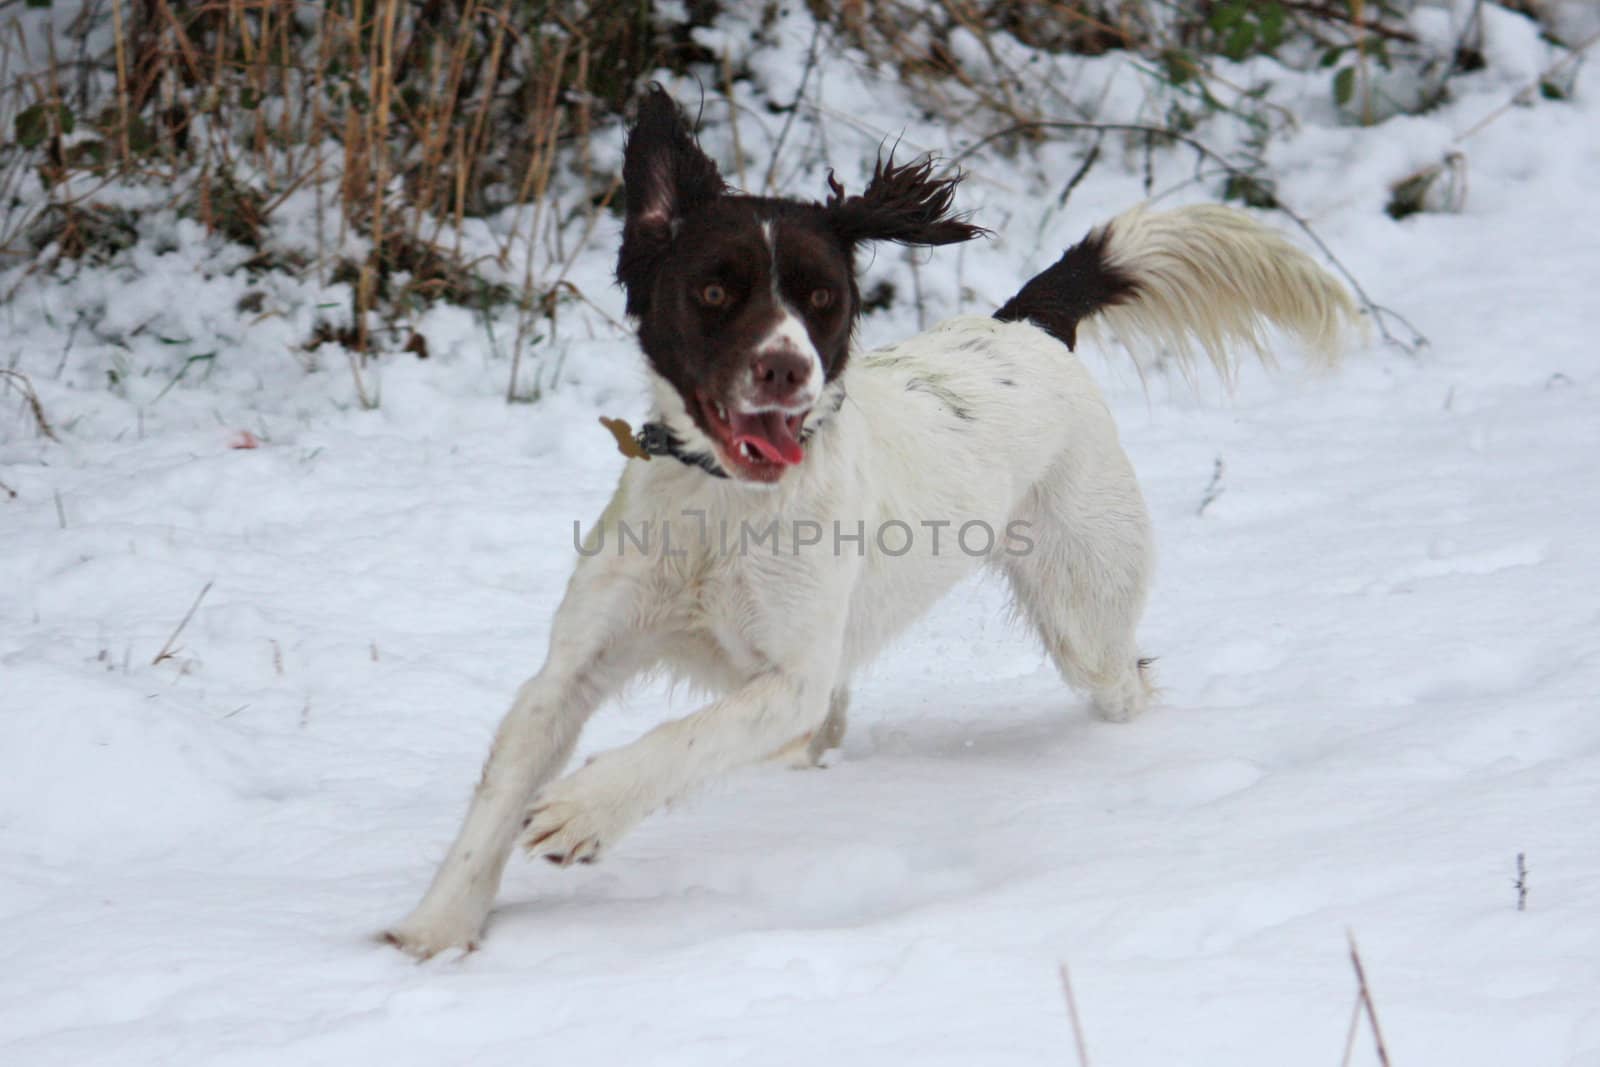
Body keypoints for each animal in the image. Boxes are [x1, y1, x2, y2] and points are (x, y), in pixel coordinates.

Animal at [380, 89, 1356, 959]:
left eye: (821, 298)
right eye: (714, 291)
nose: (786, 369)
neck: (723, 509)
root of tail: (1029, 328)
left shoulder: (792, 676)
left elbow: (681, 738)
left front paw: (584, 809)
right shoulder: (577, 663)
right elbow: (502, 785)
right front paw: (437, 929)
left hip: (1088, 617)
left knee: (1127, 680)